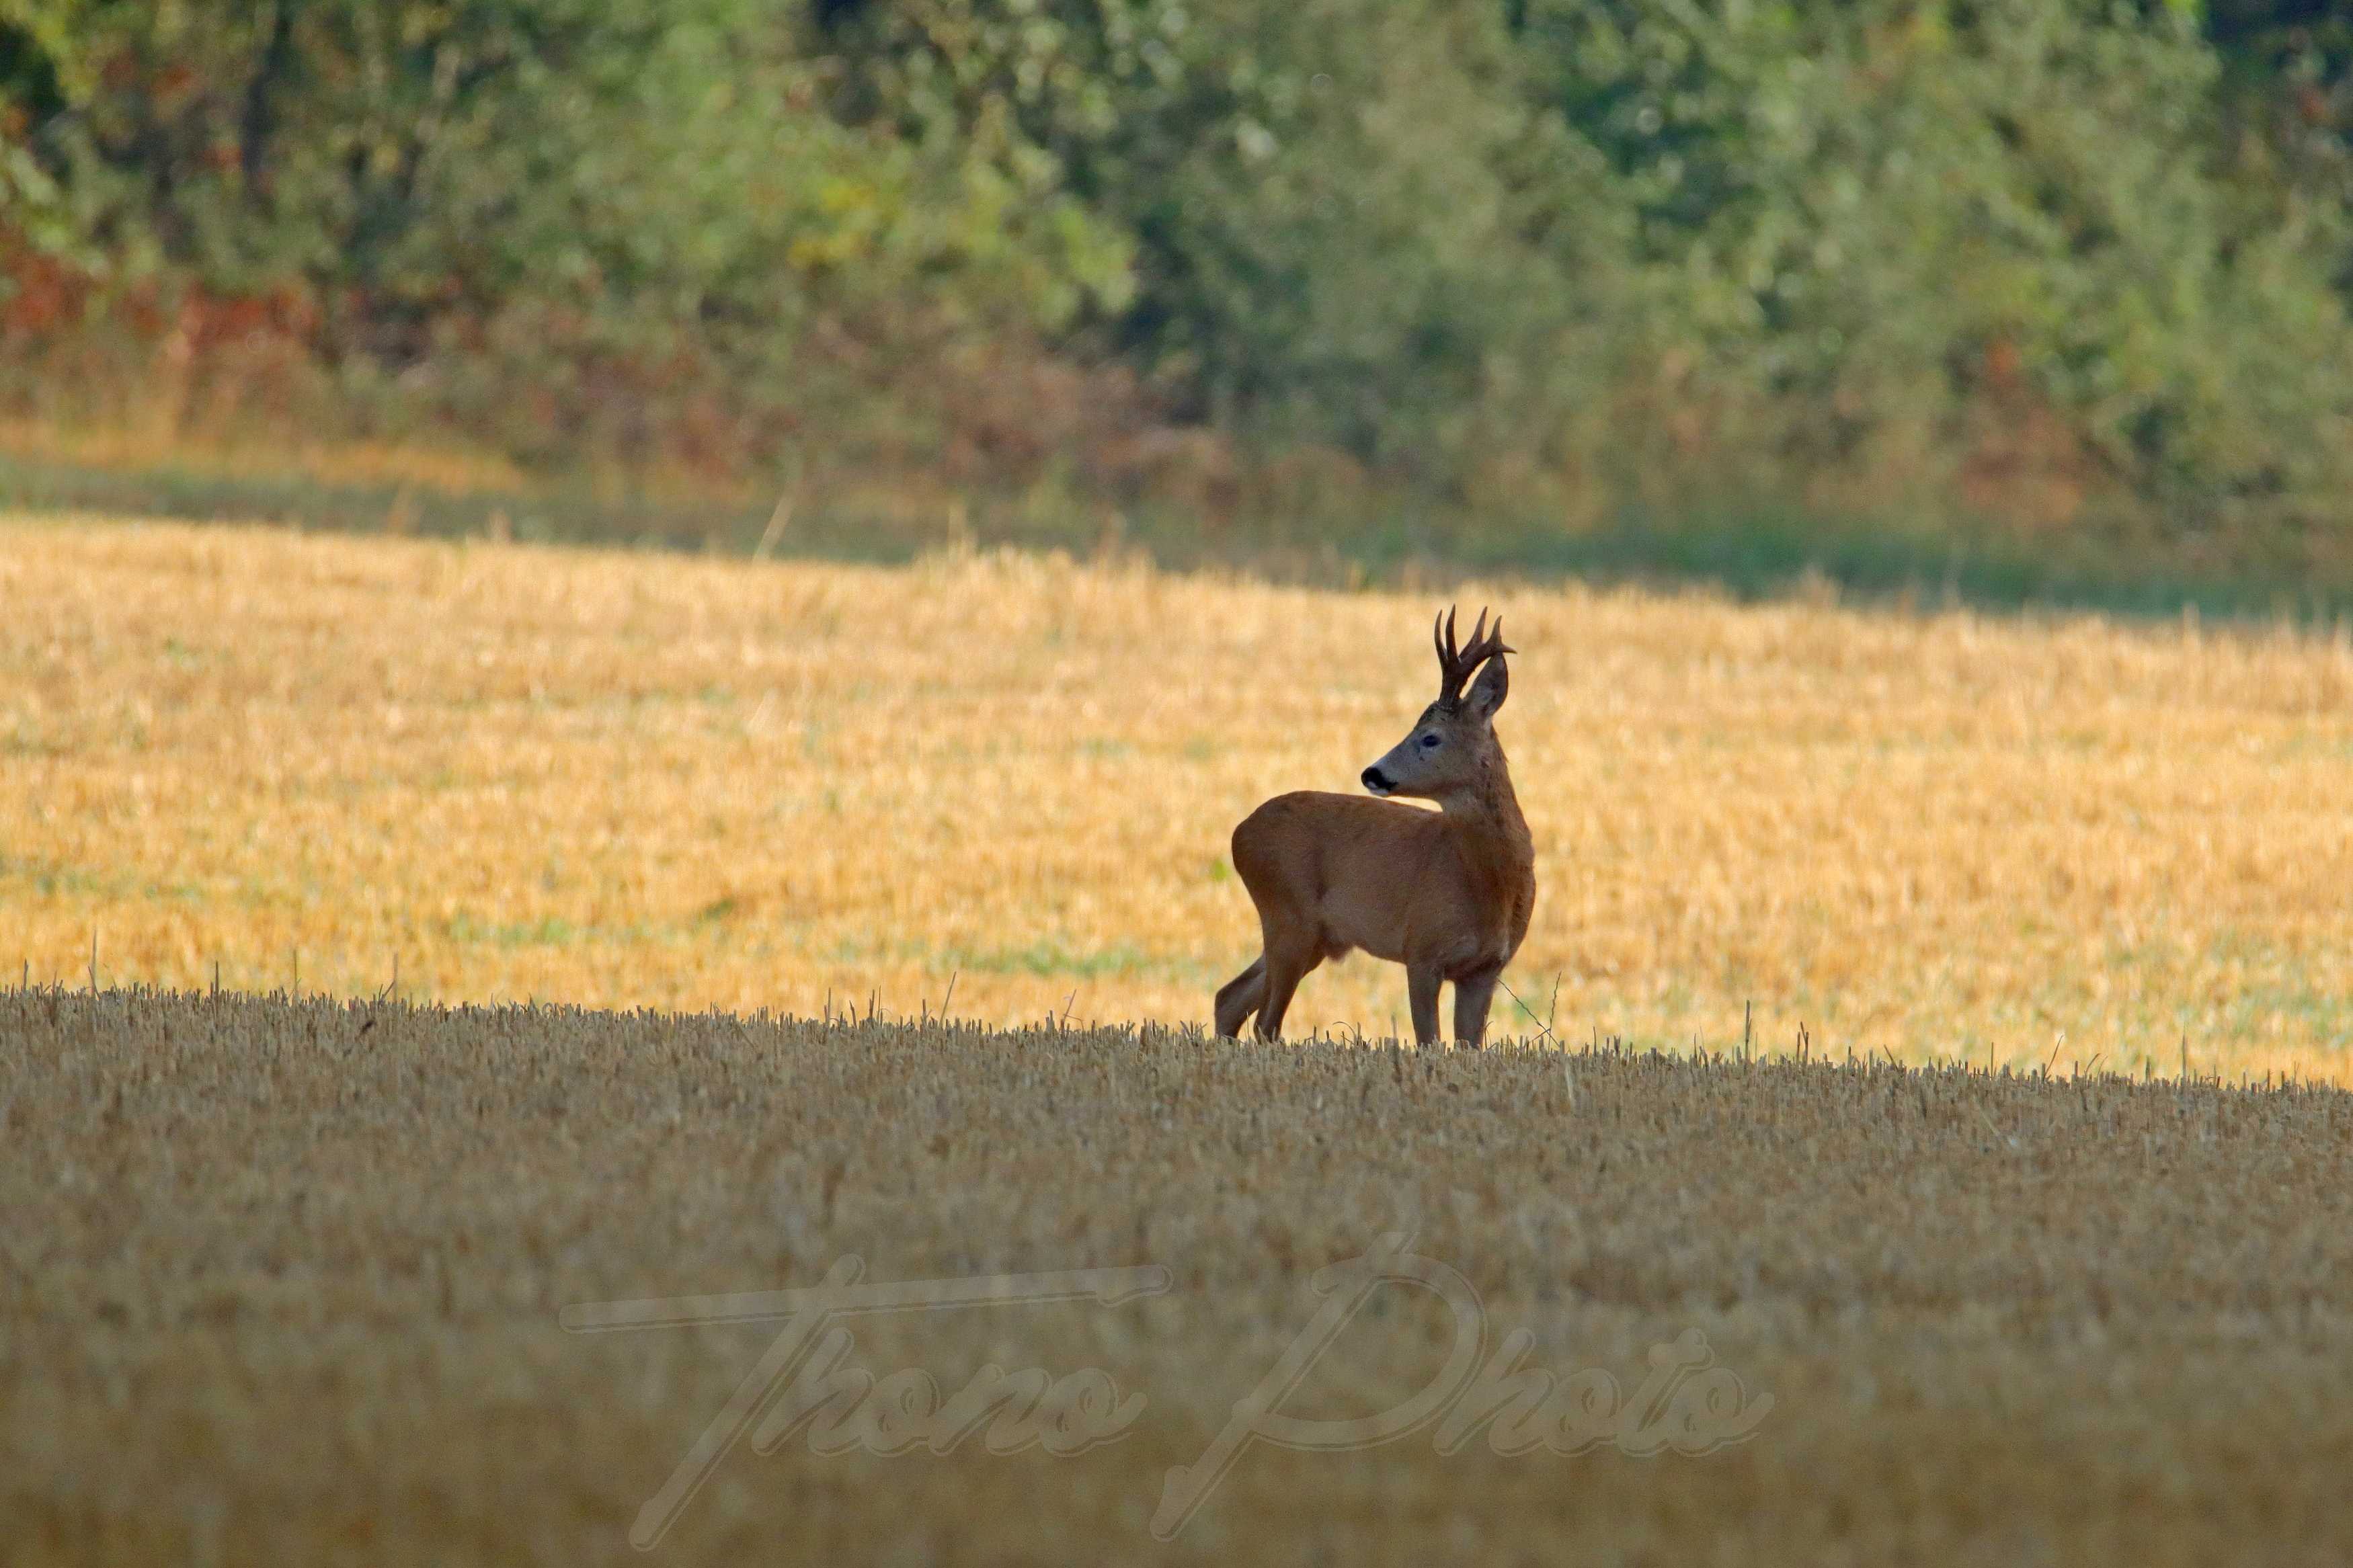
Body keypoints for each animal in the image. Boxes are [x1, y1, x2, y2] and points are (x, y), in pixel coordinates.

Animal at [1224, 606, 1534, 1048]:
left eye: (1430, 737)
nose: (1372, 773)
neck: (1490, 886)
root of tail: (1239, 833)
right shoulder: (1421, 950)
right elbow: (1429, 1042)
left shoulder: (1485, 969)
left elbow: (1469, 1046)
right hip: (1287, 915)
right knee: (1265, 1025)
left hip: (1316, 936)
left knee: (1229, 998)